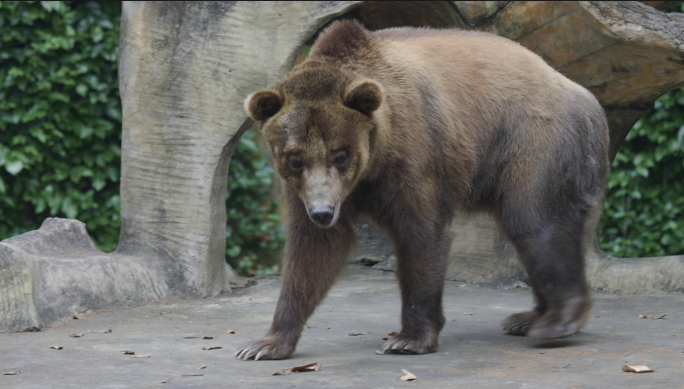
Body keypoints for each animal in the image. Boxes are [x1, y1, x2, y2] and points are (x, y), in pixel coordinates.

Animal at [236, 20, 608, 360]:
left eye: (340, 154)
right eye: (295, 159)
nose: (323, 212)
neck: (372, 165)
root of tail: (586, 96)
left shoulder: (416, 155)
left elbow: (420, 234)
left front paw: (409, 338)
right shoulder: (309, 191)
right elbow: (311, 253)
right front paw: (266, 344)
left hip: (531, 141)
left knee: (534, 221)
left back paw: (557, 320)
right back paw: (528, 317)